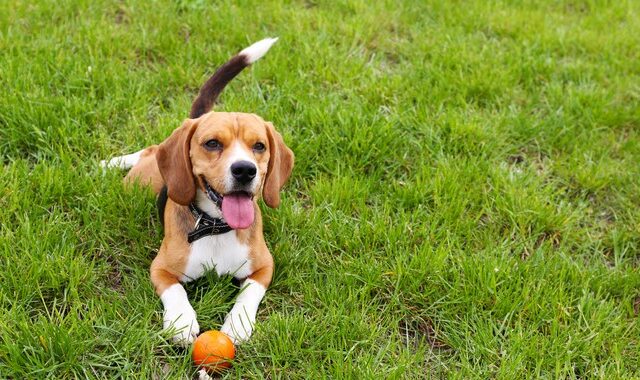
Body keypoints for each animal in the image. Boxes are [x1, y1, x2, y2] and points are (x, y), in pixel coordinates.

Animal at [103, 37, 296, 344]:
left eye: (259, 146)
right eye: (212, 143)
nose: (245, 170)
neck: (215, 227)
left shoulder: (264, 267)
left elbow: (249, 293)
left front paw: (238, 323)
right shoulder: (161, 268)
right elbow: (176, 291)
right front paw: (181, 321)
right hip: (139, 181)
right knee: (150, 150)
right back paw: (112, 163)